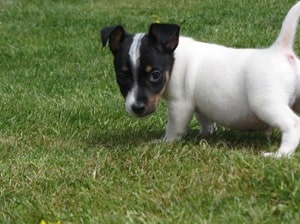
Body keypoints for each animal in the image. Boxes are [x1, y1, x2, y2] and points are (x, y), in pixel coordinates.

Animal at [101, 1, 300, 158]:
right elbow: (205, 121)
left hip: (265, 103)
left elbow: (174, 127)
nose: (137, 108)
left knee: (292, 124)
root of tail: (280, 51)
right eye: (122, 76)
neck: (174, 60)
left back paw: (280, 154)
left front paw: (165, 142)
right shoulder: (199, 105)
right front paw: (205, 135)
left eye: (155, 75)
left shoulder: (180, 105)